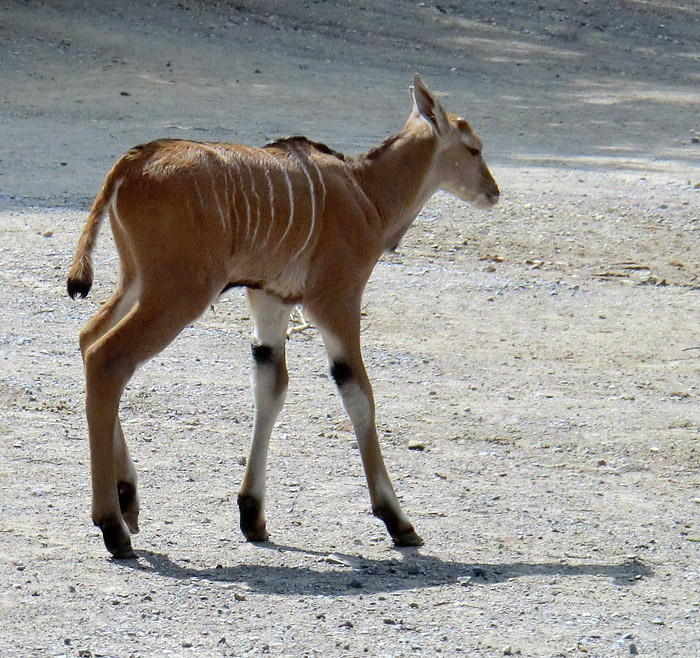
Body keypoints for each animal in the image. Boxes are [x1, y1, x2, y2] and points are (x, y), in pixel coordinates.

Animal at [68, 74, 500, 556]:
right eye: (474, 148)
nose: (494, 191)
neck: (364, 190)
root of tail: (129, 164)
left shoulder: (271, 300)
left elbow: (270, 388)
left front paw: (252, 515)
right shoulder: (335, 301)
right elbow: (359, 395)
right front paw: (398, 520)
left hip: (137, 283)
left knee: (89, 339)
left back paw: (127, 497)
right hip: (177, 295)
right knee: (109, 358)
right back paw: (112, 524)